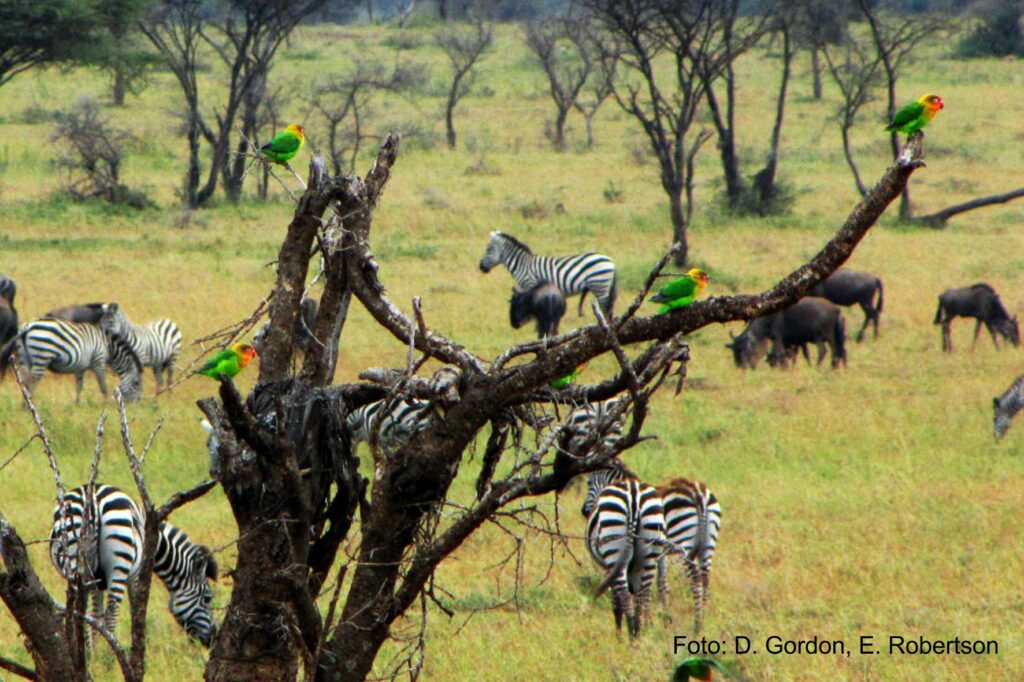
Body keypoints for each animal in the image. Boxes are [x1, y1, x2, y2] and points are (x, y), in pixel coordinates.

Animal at [2, 315, 143, 401]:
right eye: (136, 383)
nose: (138, 403)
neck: (108, 346)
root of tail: (28, 326)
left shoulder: (81, 366)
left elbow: (79, 386)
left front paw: (77, 404)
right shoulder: (98, 360)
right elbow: (102, 384)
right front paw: (106, 403)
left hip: (24, 358)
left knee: (24, 382)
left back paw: (25, 405)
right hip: (42, 355)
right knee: (32, 382)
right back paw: (29, 405)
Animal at [49, 483, 220, 643]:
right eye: (207, 599)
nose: (212, 638)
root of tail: (93, 501)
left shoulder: (97, 582)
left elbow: (95, 617)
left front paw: (94, 651)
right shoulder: (136, 575)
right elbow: (135, 611)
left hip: (74, 559)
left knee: (76, 609)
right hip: (119, 564)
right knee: (112, 613)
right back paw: (109, 652)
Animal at [477, 228, 614, 313]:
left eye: (488, 249)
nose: (481, 267)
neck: (522, 265)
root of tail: (610, 261)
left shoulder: (530, 284)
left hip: (599, 285)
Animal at [589, 475, 667, 634]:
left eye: (589, 484)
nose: (584, 510)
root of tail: (633, 494)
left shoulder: (609, 569)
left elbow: (616, 602)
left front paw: (618, 633)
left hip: (614, 546)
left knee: (625, 596)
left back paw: (630, 635)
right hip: (649, 551)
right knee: (643, 594)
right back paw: (638, 634)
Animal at [655, 477, 720, 630]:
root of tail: (699, 493)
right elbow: (661, 582)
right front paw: (666, 617)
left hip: (684, 542)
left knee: (696, 579)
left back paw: (697, 625)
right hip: (708, 545)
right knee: (705, 579)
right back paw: (703, 617)